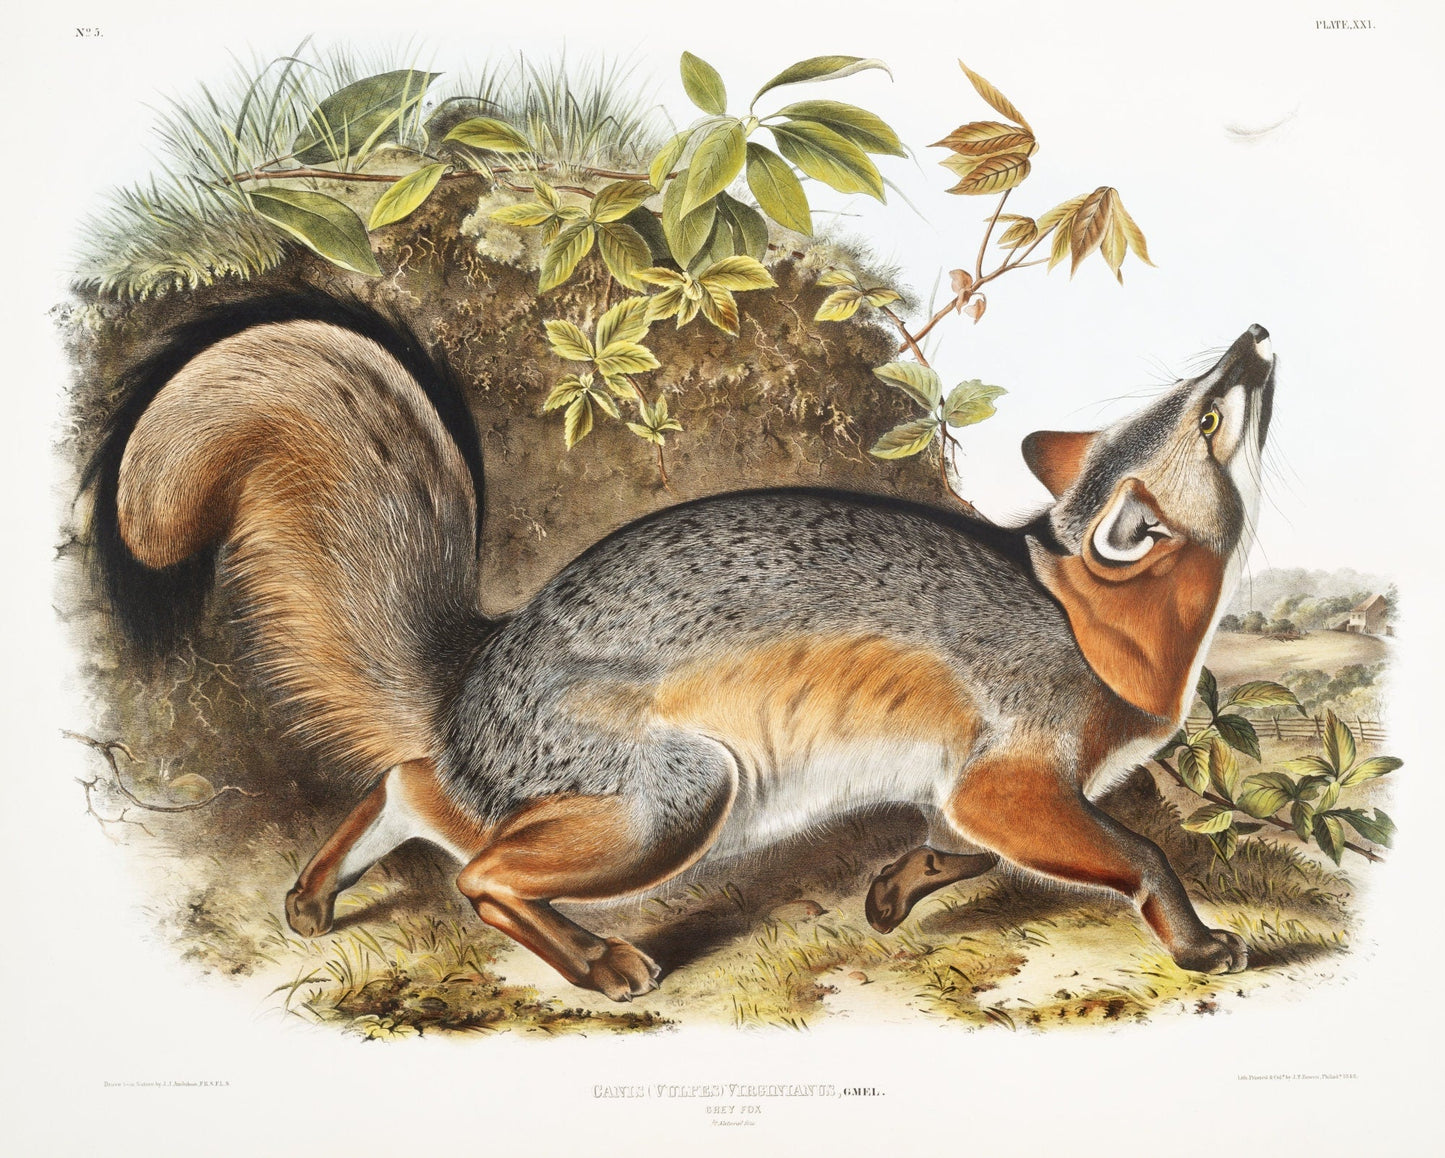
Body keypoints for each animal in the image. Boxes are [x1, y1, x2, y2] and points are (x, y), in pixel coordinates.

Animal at [86, 292, 1275, 1001]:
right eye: (1207, 415)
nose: (1253, 338)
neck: (1088, 613)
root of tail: (480, 666)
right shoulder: (1010, 777)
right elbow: (1138, 852)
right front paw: (1195, 941)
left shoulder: (974, 786)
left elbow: (961, 845)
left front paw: (893, 892)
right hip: (680, 798)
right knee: (478, 869)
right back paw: (598, 962)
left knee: (411, 785)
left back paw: (316, 893)